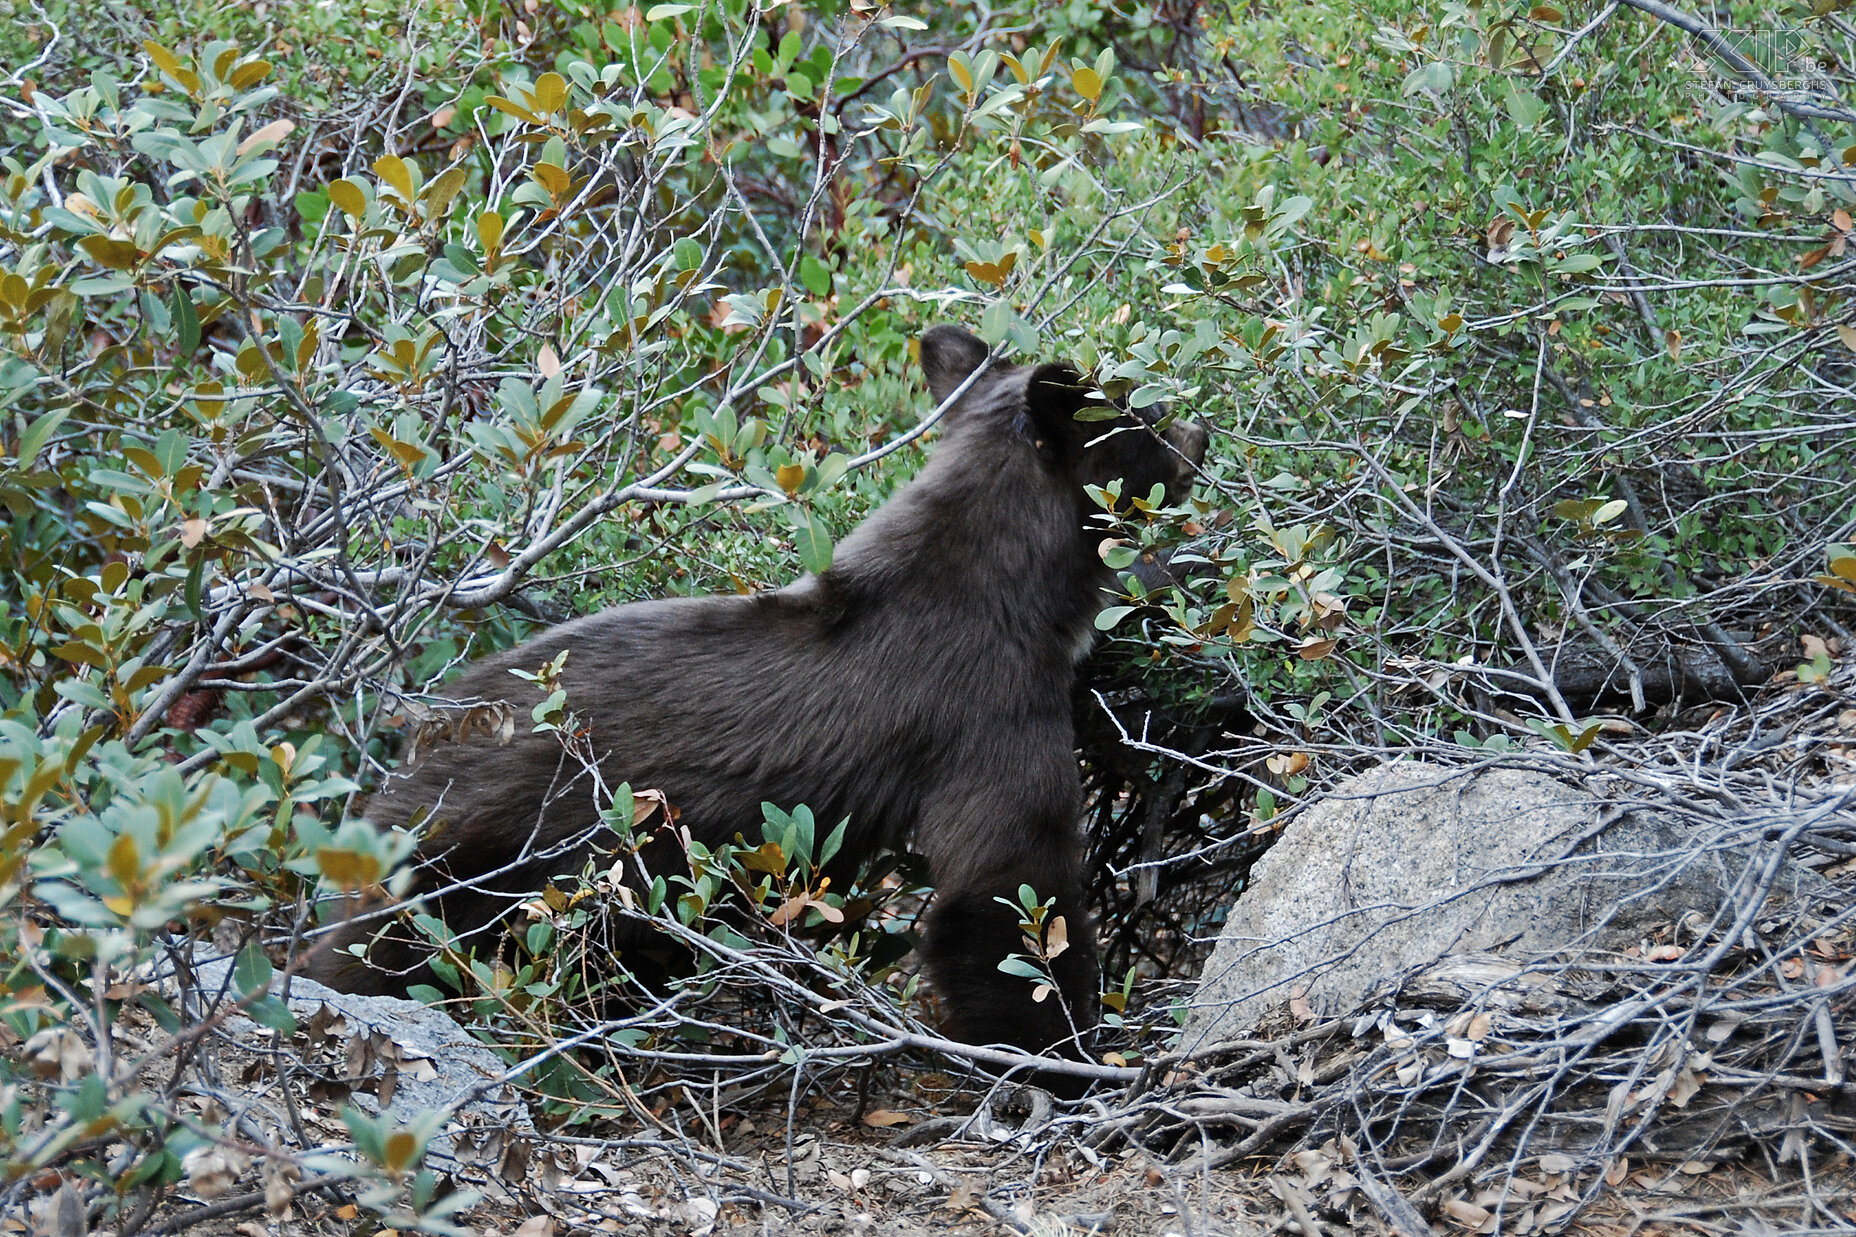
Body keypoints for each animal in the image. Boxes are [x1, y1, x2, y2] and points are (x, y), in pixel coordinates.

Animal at [308, 326, 1202, 1062]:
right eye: (1146, 415)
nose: (1198, 431)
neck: (1013, 589)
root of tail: (413, 745)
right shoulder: (989, 705)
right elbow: (1007, 893)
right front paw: (1064, 1056)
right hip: (480, 853)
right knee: (387, 951)